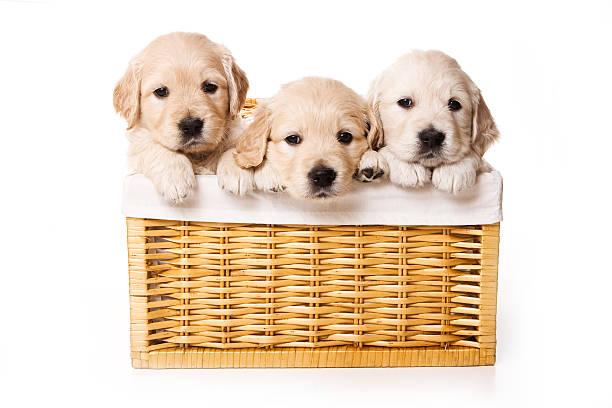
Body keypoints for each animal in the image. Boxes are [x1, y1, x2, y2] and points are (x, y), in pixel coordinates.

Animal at [115, 31, 249, 203]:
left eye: (210, 86)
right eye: (160, 91)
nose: (191, 125)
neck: (196, 155)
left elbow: (237, 144)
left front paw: (237, 169)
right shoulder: (137, 146)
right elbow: (152, 146)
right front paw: (174, 177)